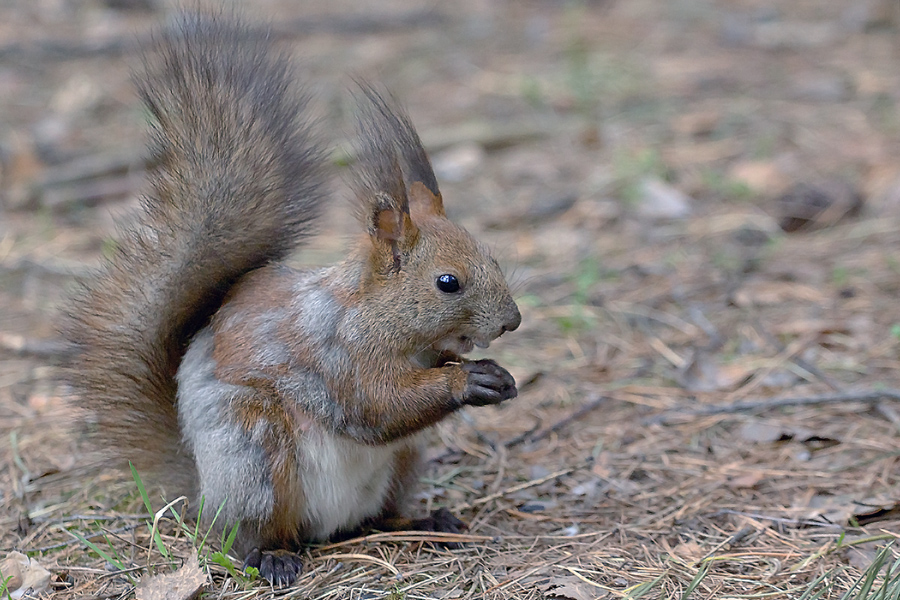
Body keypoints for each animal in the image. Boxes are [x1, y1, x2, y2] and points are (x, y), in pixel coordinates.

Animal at [61, 12, 520, 584]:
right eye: (448, 282)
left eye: (493, 258)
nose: (512, 321)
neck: (380, 318)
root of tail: (202, 494)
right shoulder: (336, 354)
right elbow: (376, 406)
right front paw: (470, 380)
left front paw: (498, 376)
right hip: (256, 457)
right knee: (252, 533)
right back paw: (272, 556)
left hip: (404, 462)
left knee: (377, 516)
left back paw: (425, 521)